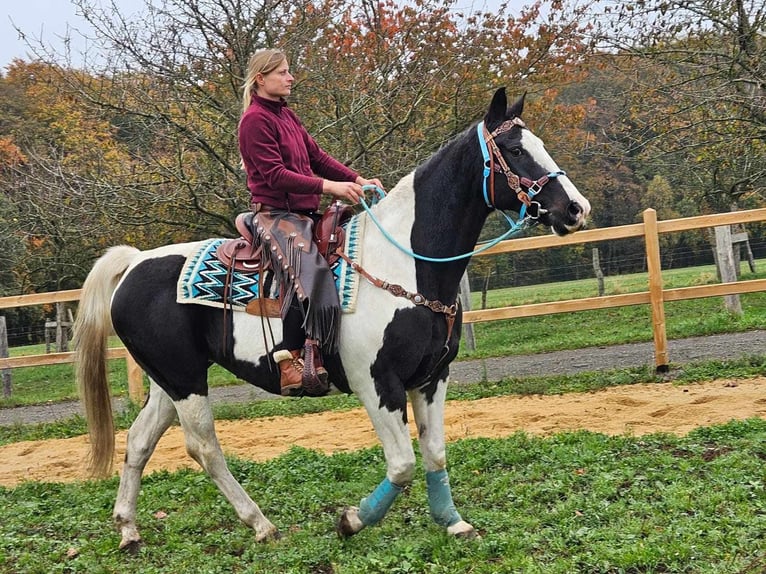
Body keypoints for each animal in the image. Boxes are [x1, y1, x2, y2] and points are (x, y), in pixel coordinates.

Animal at [75, 88, 592, 552]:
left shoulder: (432, 379)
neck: (403, 263)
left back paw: (128, 530)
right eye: (516, 150)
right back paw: (261, 525)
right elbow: (402, 463)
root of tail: (135, 261)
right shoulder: (376, 382)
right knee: (204, 448)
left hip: (171, 379)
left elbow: (434, 454)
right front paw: (351, 521)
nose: (576, 208)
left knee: (139, 441)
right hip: (184, 381)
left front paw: (453, 522)